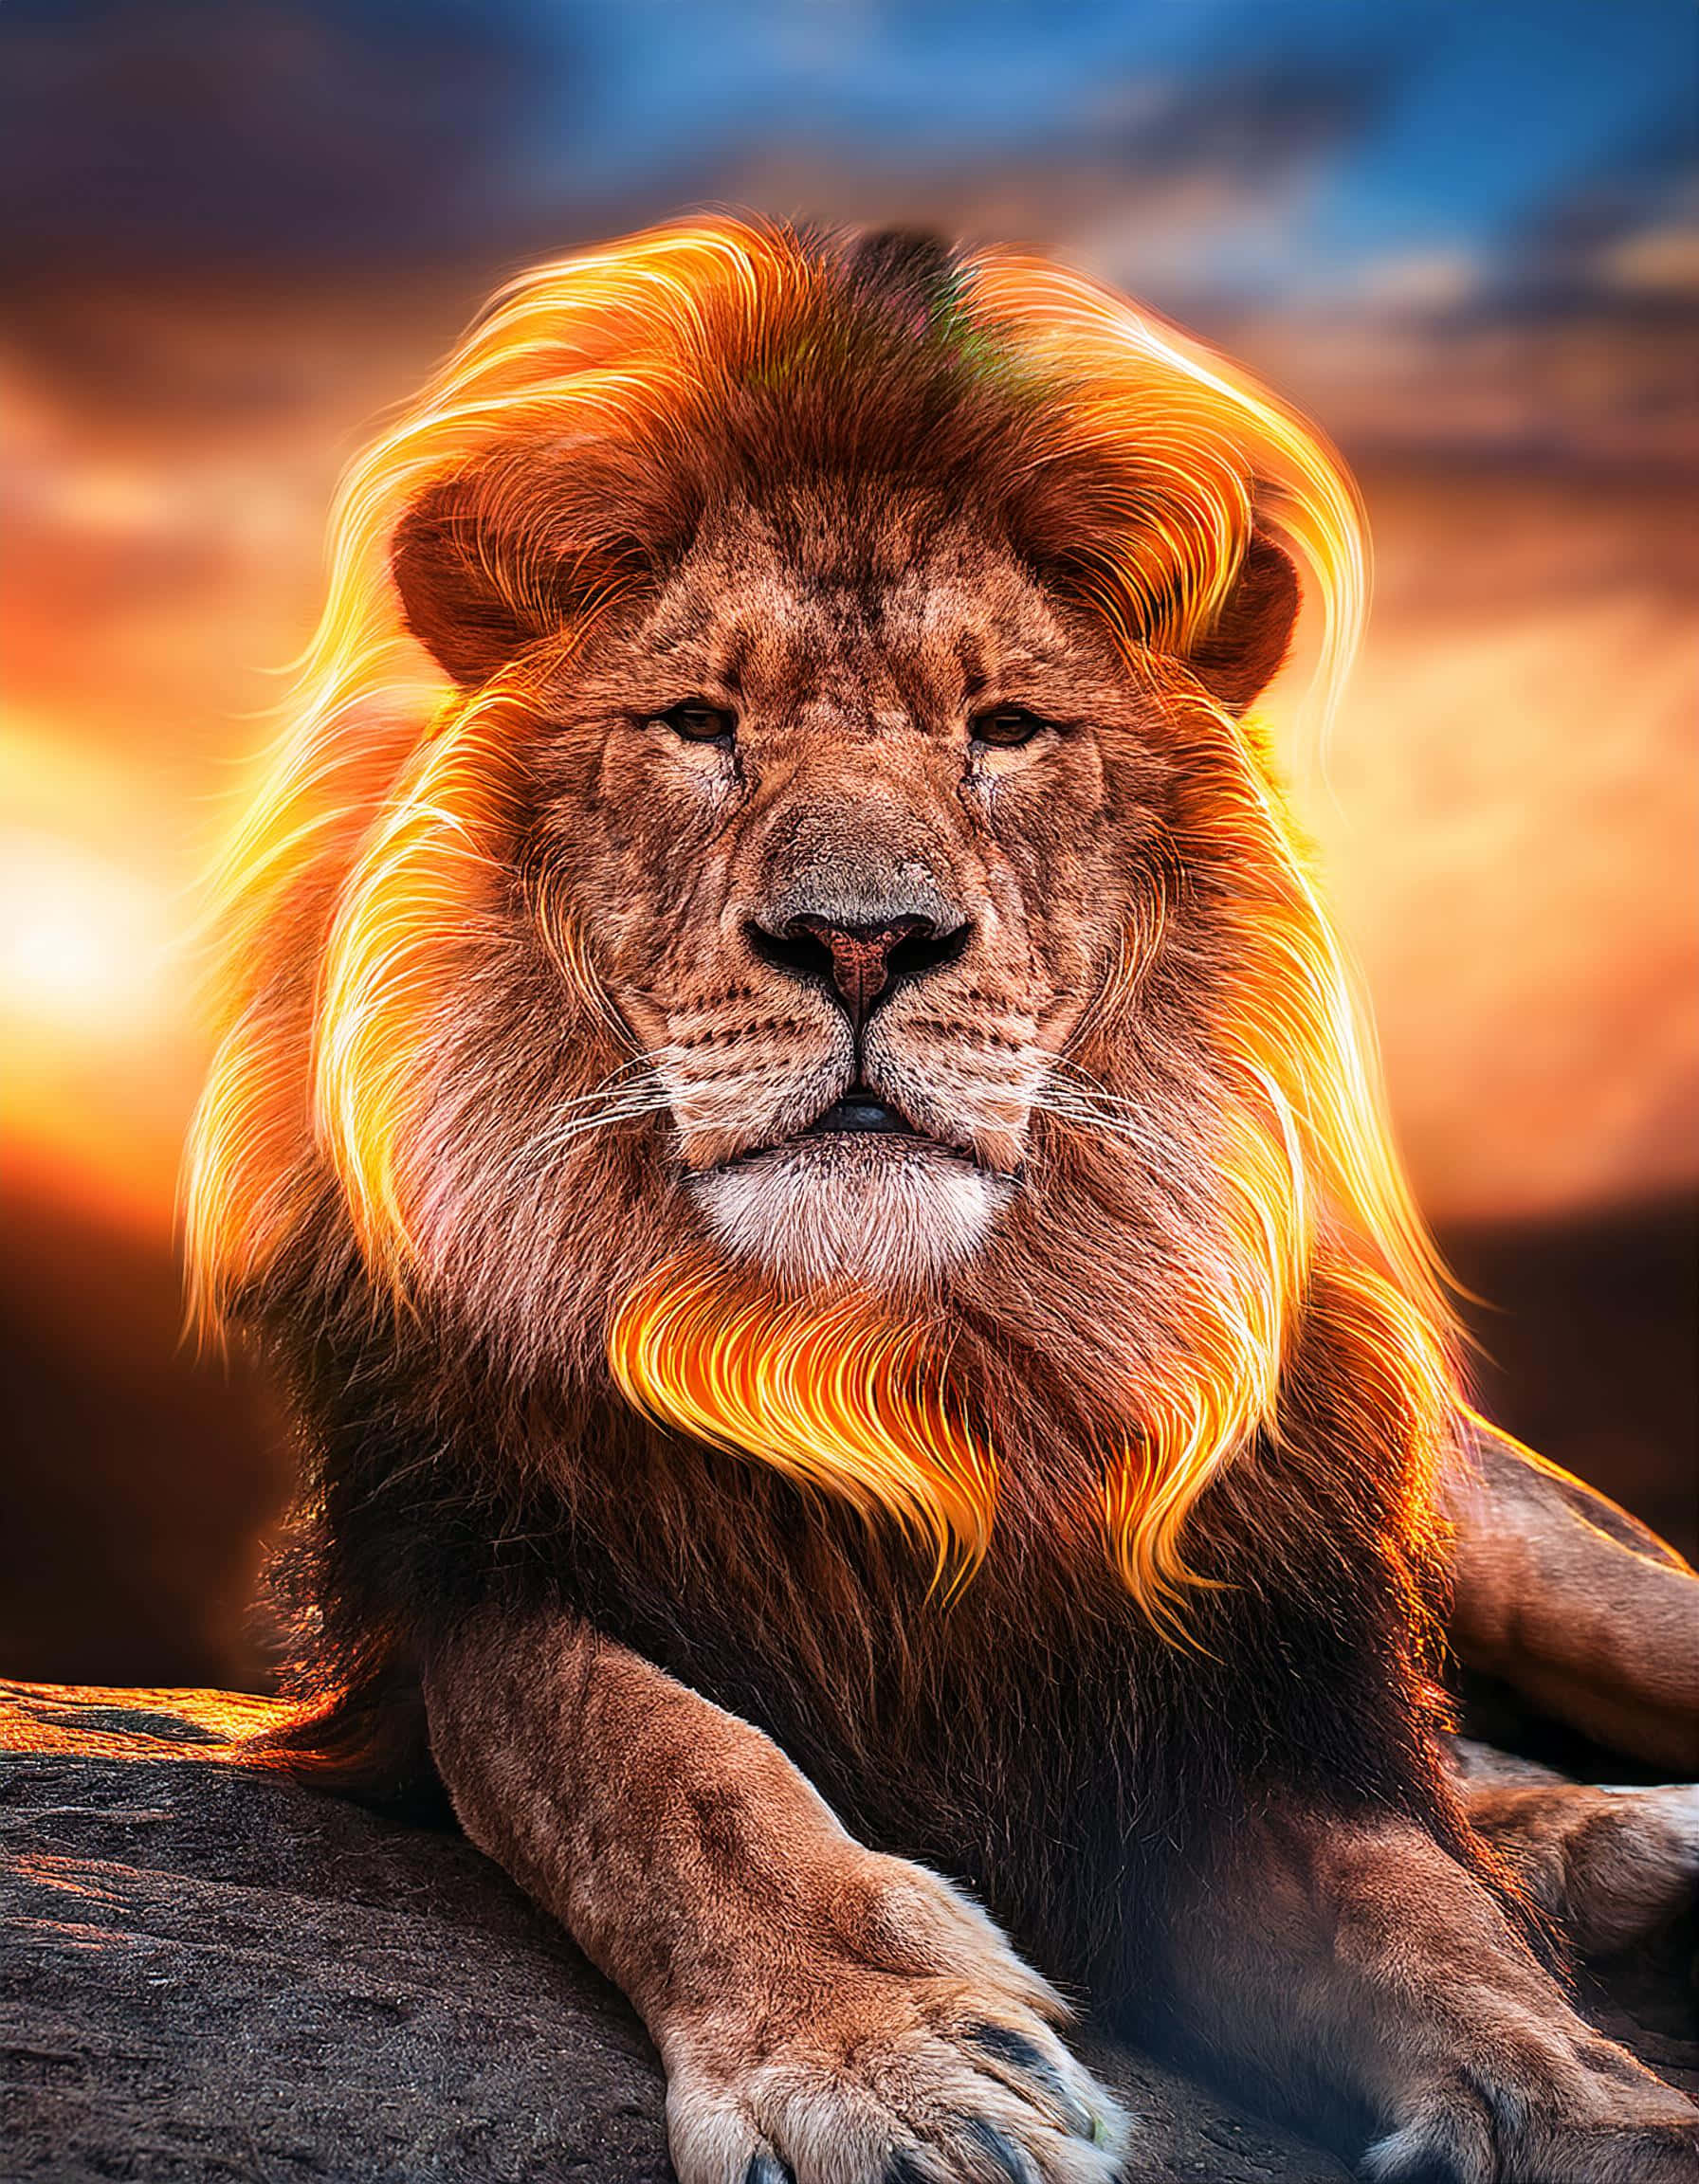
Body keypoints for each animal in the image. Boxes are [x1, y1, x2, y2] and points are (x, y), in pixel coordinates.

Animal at [186, 220, 1699, 2182]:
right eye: (699, 723)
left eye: (1007, 728)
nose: (862, 938)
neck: (900, 1369)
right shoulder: (475, 1571)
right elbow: (659, 1764)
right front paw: (880, 2058)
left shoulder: (1203, 1683)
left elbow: (1418, 1913)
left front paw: (1588, 2100)